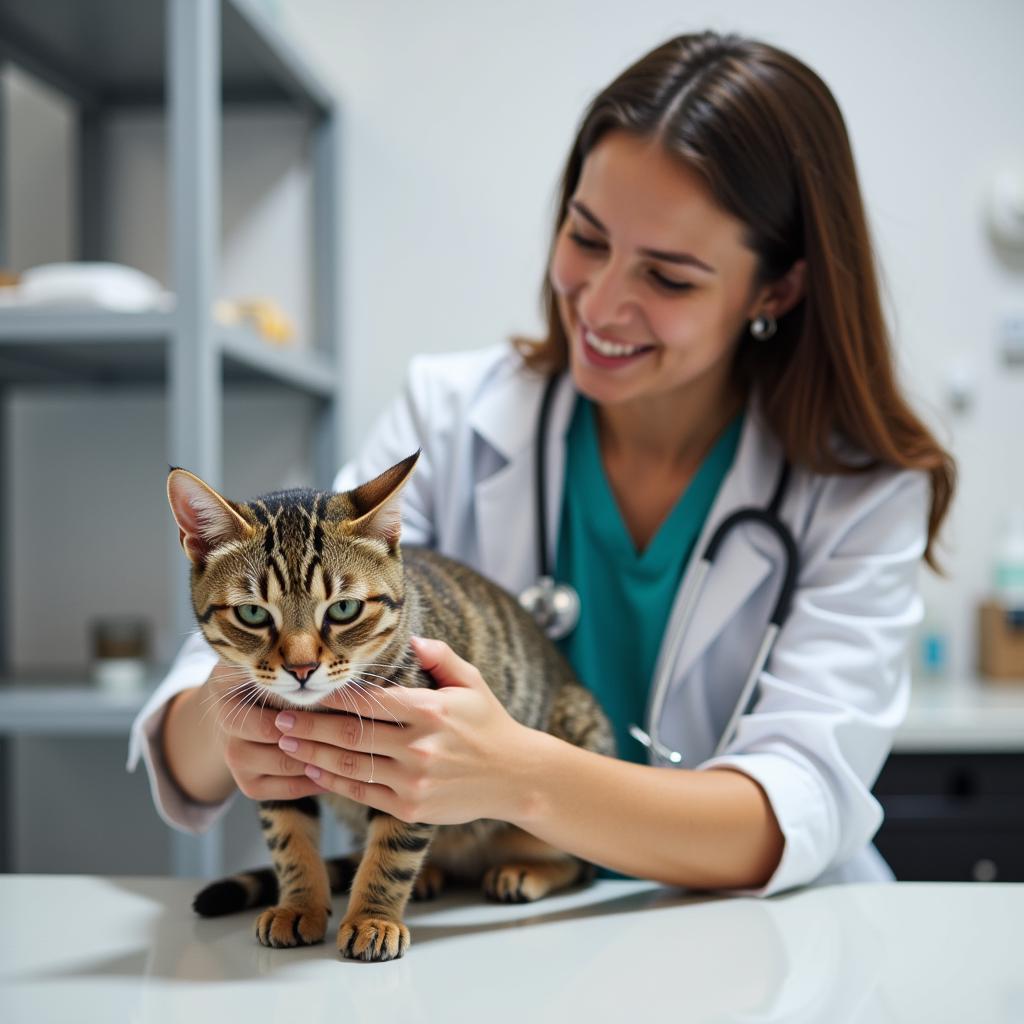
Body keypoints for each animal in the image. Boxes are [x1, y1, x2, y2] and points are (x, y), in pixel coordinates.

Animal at [167, 450, 614, 958]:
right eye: (253, 613)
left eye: (343, 609)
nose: (301, 668)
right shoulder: (274, 770)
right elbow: (289, 839)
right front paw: (299, 904)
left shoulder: (413, 773)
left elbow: (393, 850)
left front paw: (372, 917)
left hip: (575, 727)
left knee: (578, 861)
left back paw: (525, 870)